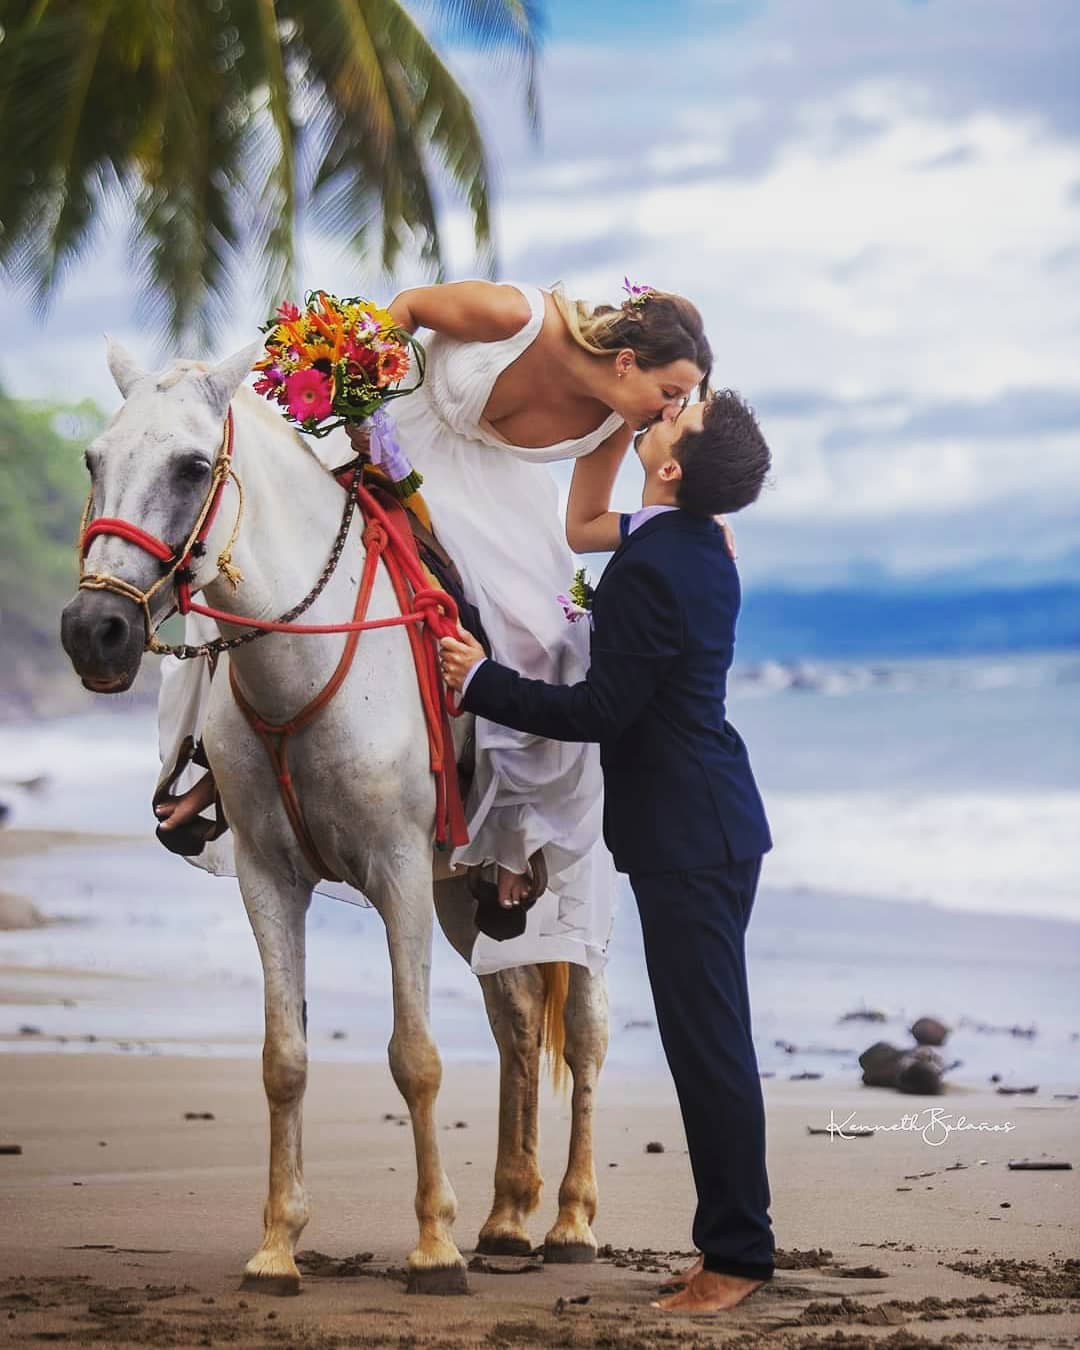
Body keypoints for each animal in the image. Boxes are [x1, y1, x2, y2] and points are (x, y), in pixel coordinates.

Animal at [63, 340, 612, 1296]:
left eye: (192, 466)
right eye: (96, 460)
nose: (93, 629)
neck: (302, 655)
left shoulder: (398, 872)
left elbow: (415, 1057)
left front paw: (432, 1247)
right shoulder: (268, 876)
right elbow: (283, 1060)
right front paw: (278, 1246)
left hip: (573, 878)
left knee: (581, 1031)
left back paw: (572, 1220)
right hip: (469, 894)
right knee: (512, 1019)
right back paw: (508, 1218)